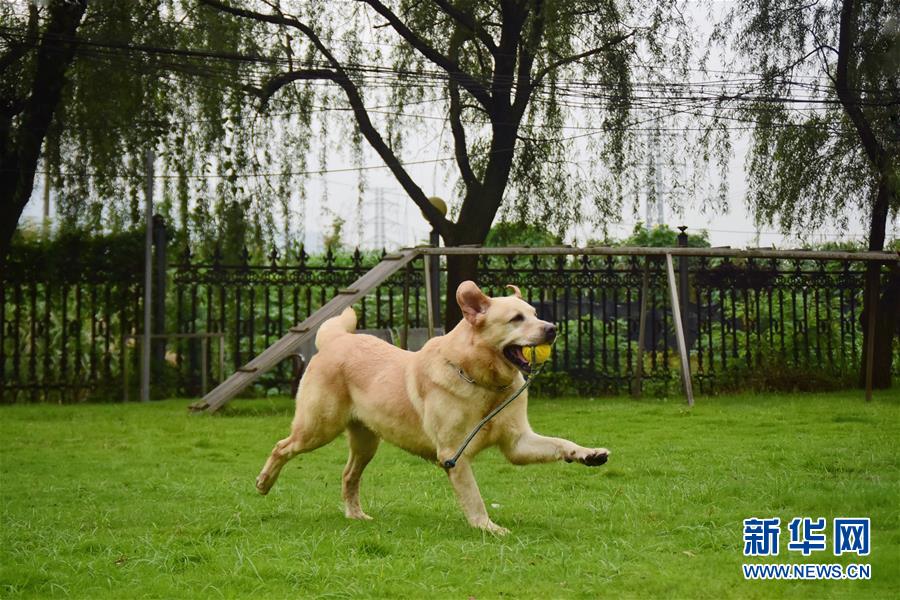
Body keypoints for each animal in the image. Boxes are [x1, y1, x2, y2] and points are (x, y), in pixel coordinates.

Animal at [260, 278, 612, 532]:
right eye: (516, 318)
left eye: (536, 314)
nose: (552, 329)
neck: (484, 384)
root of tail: (337, 339)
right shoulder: (453, 455)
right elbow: (474, 497)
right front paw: (488, 527)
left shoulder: (518, 443)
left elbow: (560, 443)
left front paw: (589, 453)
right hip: (317, 428)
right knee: (281, 446)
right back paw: (264, 482)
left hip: (366, 442)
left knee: (348, 475)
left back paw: (356, 515)